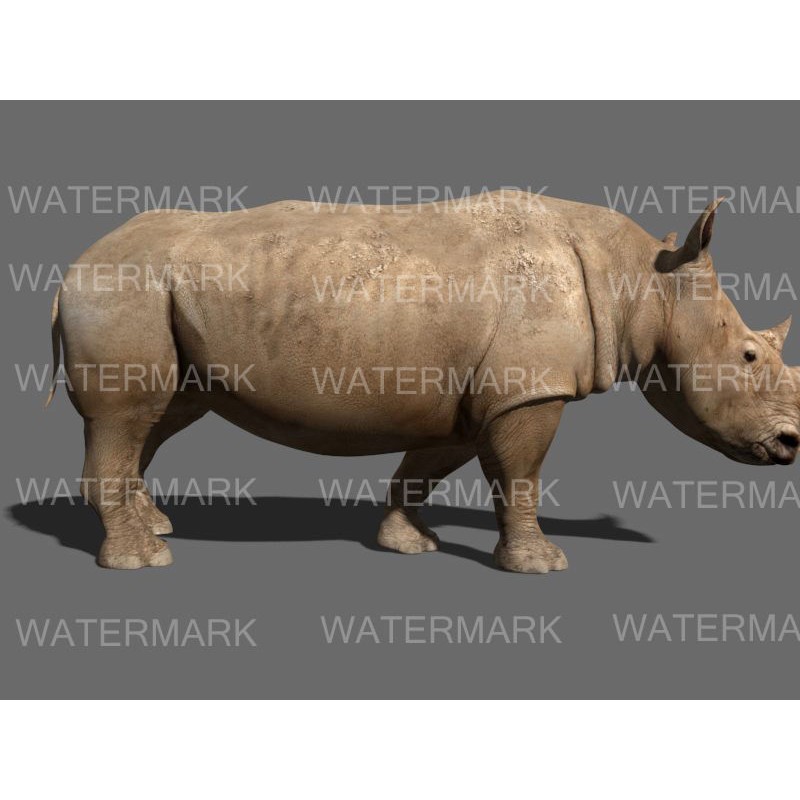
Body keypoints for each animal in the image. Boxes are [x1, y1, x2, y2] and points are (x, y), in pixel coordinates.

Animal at [47, 190, 799, 572]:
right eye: (748, 358)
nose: (791, 444)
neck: (645, 279)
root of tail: (71, 268)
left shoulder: (473, 394)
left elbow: (427, 467)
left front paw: (408, 544)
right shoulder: (527, 390)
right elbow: (520, 475)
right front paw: (541, 563)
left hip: (157, 294)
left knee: (159, 417)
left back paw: (155, 525)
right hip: (124, 288)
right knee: (126, 415)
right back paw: (144, 558)